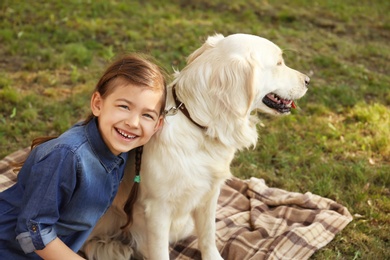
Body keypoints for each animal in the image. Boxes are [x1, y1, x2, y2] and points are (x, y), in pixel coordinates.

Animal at [83, 33, 310, 258]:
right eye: (279, 63)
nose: (308, 80)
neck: (200, 125)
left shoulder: (210, 194)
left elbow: (208, 235)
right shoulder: (157, 209)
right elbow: (161, 251)